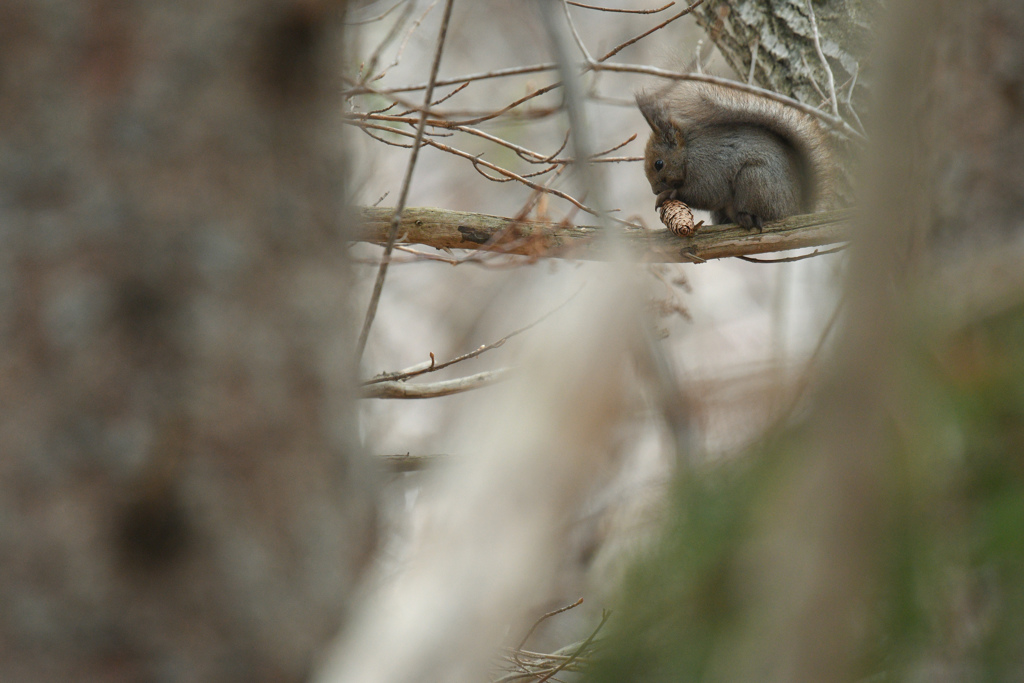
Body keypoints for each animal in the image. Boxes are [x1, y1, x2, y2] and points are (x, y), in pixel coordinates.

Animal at [634, 81, 835, 232]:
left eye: (659, 164)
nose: (655, 191)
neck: (688, 153)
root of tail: (797, 209)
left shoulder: (709, 167)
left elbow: (707, 194)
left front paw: (668, 194)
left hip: (755, 180)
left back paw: (747, 218)